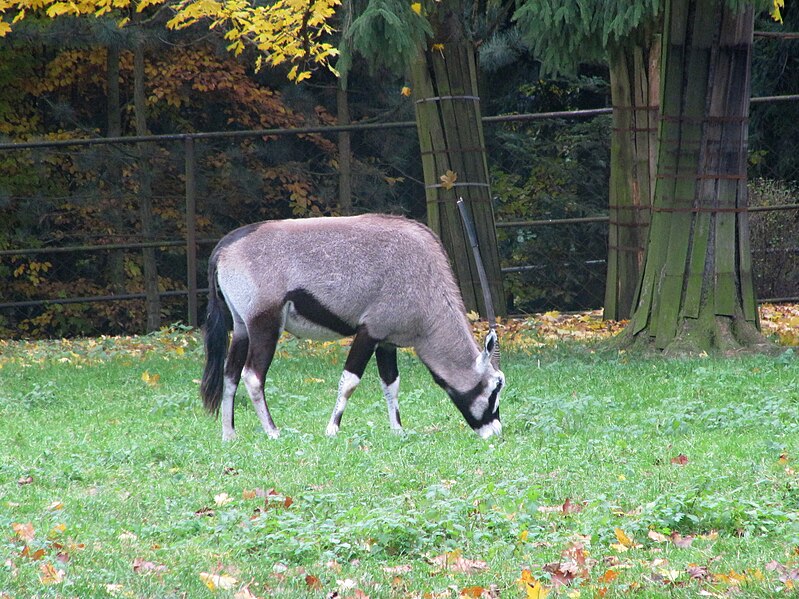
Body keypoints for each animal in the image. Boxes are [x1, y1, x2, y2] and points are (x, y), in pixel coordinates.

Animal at [200, 214, 506, 440]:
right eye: (495, 386)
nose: (495, 432)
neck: (426, 282)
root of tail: (225, 247)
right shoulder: (369, 332)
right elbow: (350, 381)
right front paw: (332, 429)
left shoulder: (386, 341)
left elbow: (391, 383)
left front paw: (398, 430)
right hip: (265, 325)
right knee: (253, 376)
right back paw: (273, 431)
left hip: (242, 328)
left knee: (231, 375)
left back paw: (229, 434)